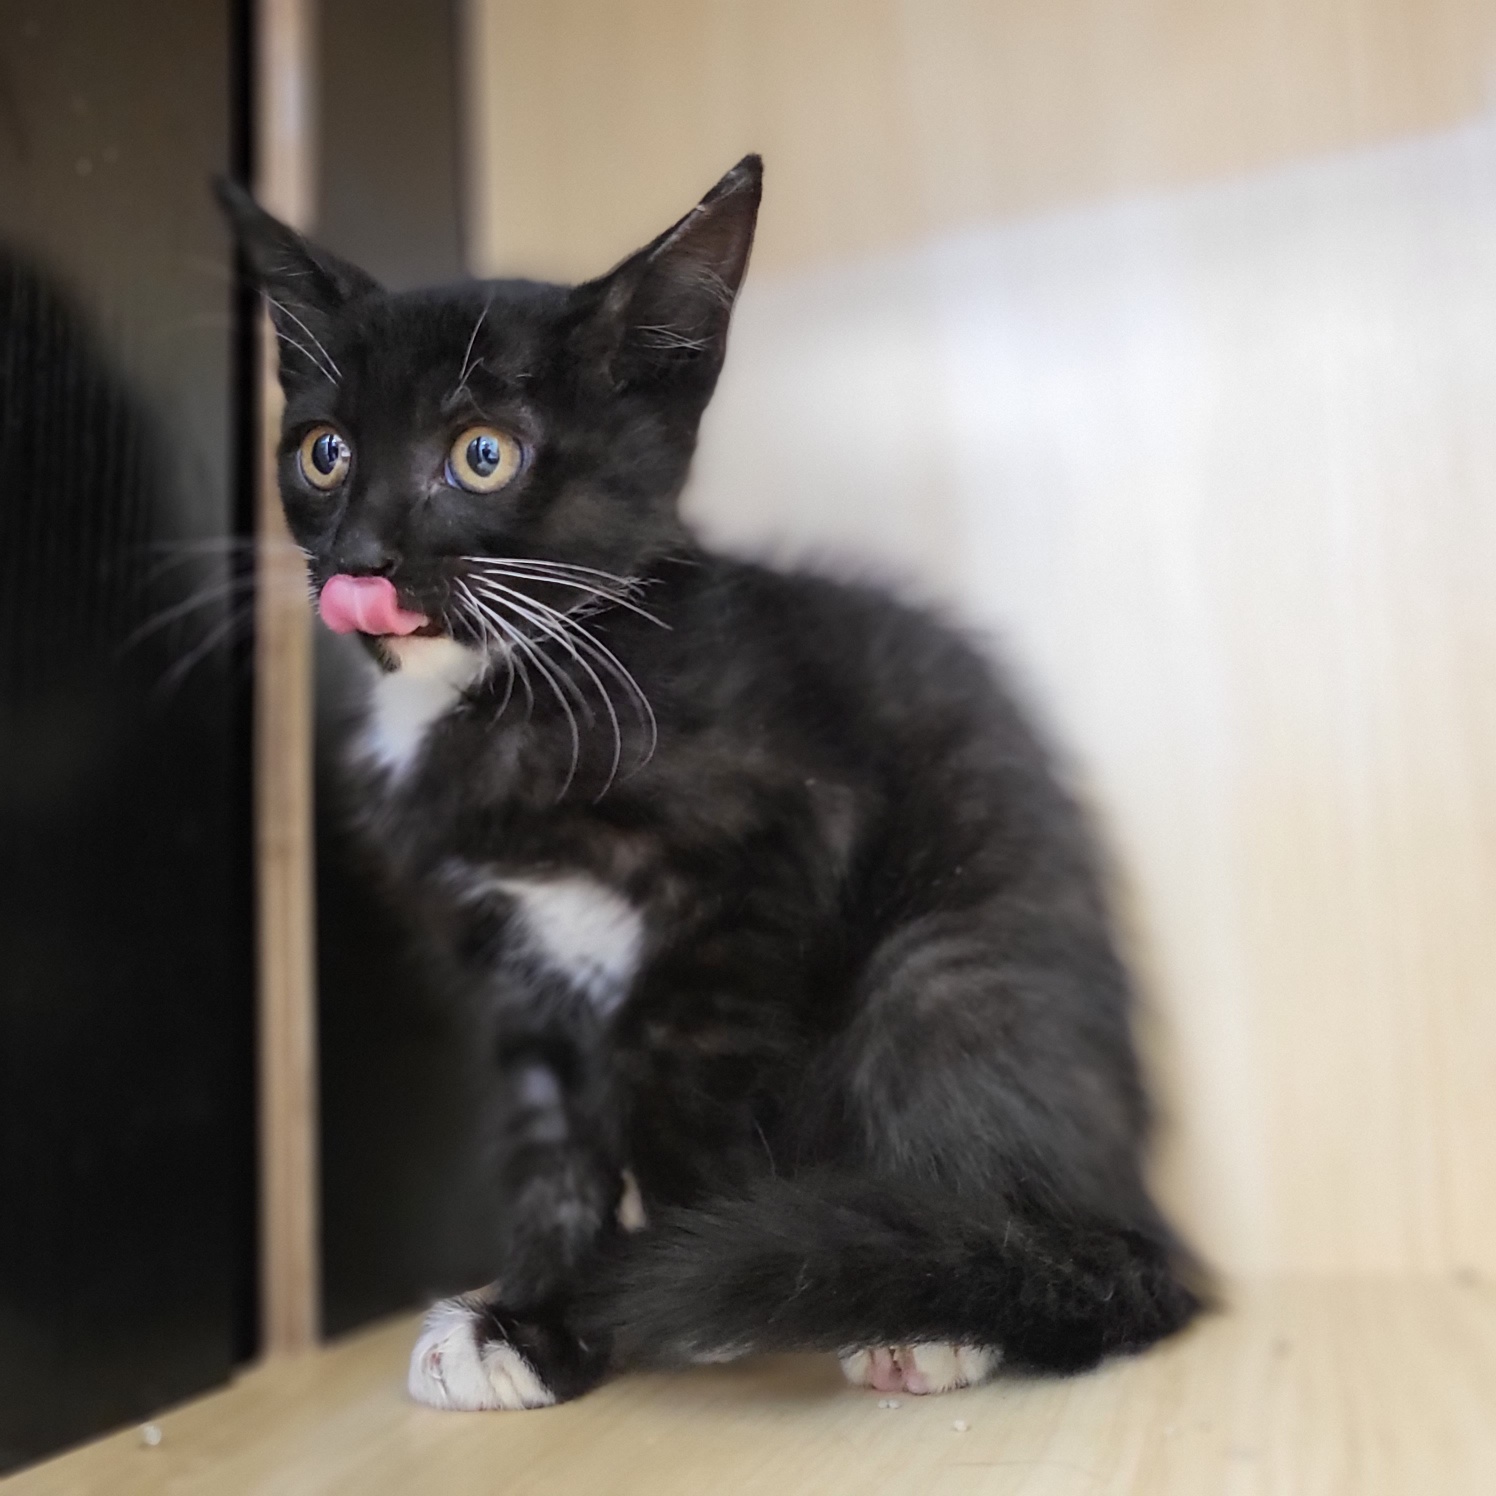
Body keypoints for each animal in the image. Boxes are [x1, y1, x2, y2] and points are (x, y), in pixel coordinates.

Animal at [218, 156, 1200, 1409]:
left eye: (483, 454)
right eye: (323, 452)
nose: (362, 559)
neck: (518, 686)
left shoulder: (783, 838)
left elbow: (663, 1039)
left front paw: (684, 1257)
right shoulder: (514, 957)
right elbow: (551, 1134)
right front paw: (530, 1317)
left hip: (938, 970)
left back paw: (926, 1305)